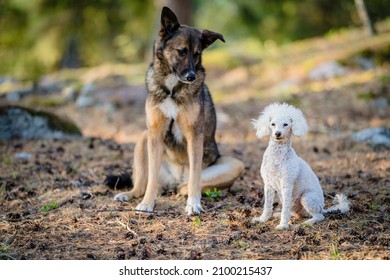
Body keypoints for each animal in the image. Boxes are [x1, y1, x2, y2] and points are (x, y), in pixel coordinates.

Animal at [111, 6, 242, 214]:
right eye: (181, 51)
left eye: (196, 54)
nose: (191, 76)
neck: (172, 88)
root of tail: (175, 178)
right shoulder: (155, 133)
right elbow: (151, 179)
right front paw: (148, 203)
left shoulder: (194, 135)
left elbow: (195, 176)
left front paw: (194, 204)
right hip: (143, 138)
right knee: (142, 184)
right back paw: (129, 194)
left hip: (235, 164)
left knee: (187, 185)